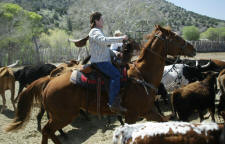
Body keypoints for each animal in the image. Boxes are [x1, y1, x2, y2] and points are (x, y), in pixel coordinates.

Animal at [4, 25, 195, 144]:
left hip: (58, 115)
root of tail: (50, 80)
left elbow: (164, 122)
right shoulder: (132, 115)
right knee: (46, 130)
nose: (193, 48)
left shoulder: (148, 111)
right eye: (176, 37)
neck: (142, 75)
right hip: (63, 116)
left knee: (47, 131)